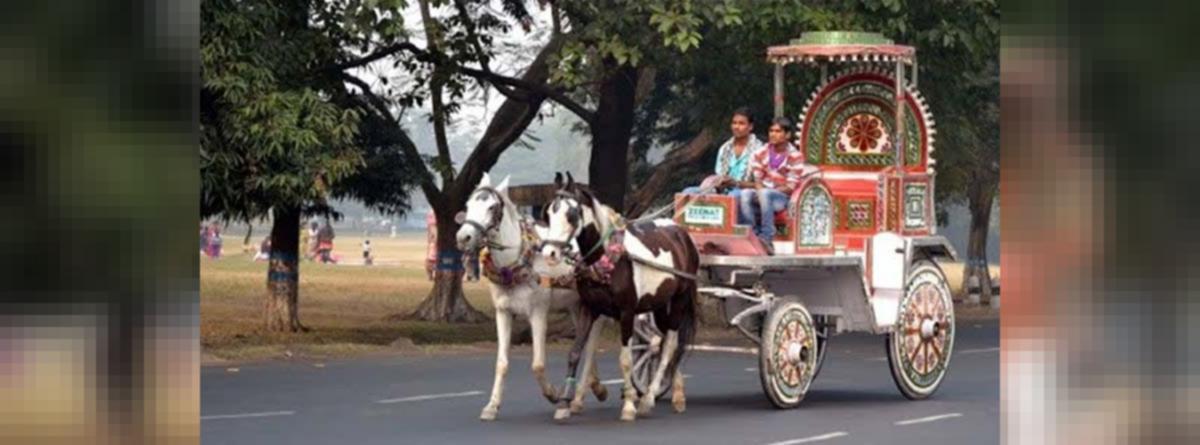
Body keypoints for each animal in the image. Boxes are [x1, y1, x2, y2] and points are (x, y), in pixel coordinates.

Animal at [456, 173, 609, 422]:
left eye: (491, 207)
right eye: (468, 206)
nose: (463, 237)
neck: (516, 261)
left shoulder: (538, 313)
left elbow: (537, 364)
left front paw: (554, 394)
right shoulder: (503, 312)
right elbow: (501, 363)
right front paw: (492, 405)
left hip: (597, 307)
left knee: (592, 344)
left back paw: (577, 398)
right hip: (575, 306)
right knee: (584, 341)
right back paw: (595, 387)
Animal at [540, 173, 700, 422]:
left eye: (571, 215)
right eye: (548, 214)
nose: (550, 253)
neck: (607, 257)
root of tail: (682, 234)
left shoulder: (626, 312)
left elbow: (625, 360)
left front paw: (629, 406)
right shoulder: (589, 308)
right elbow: (575, 353)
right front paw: (565, 403)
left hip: (680, 300)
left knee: (671, 344)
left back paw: (648, 398)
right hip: (659, 304)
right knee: (667, 343)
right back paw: (676, 394)